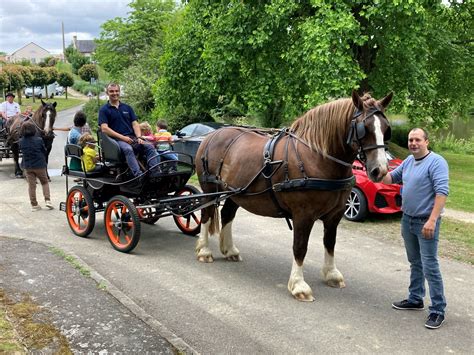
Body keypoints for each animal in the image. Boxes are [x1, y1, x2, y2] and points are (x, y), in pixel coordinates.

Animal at [195, 90, 392, 302]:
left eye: (386, 129)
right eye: (364, 128)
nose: (380, 170)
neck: (317, 157)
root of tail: (211, 135)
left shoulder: (335, 214)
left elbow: (330, 242)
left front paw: (331, 274)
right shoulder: (303, 215)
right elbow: (300, 247)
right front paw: (298, 285)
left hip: (236, 193)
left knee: (227, 215)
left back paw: (229, 250)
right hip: (209, 189)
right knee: (206, 216)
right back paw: (204, 250)